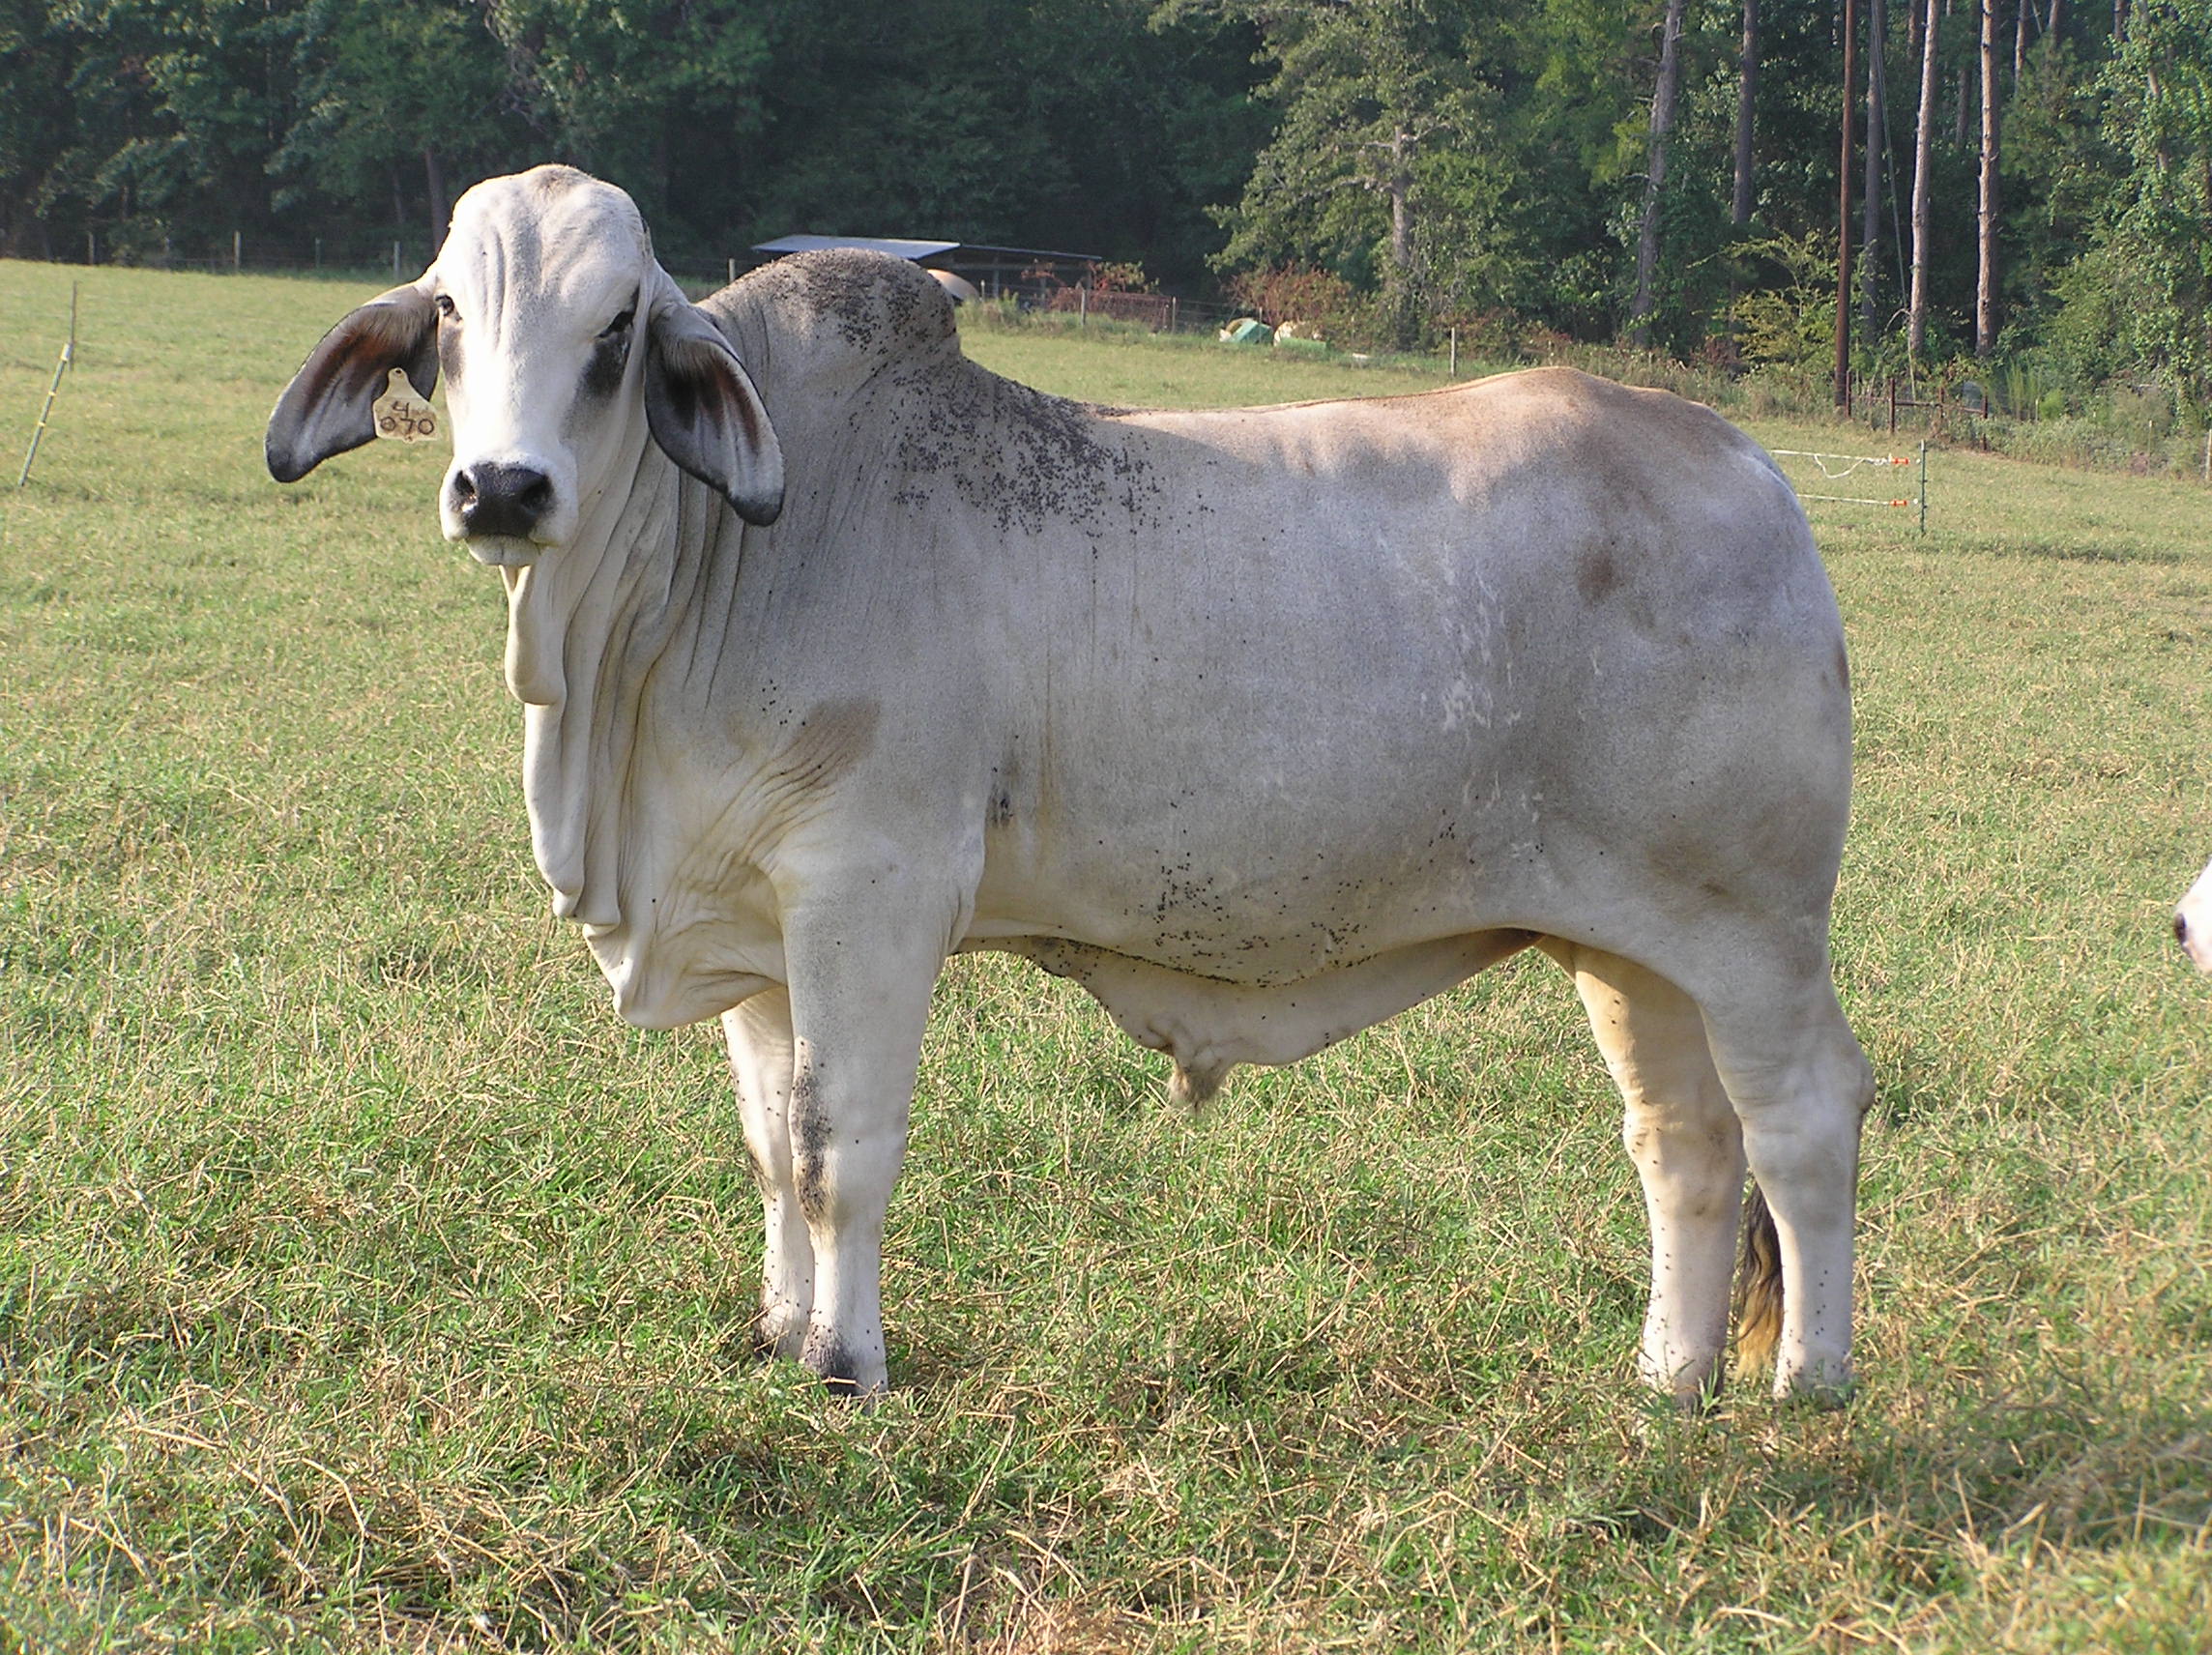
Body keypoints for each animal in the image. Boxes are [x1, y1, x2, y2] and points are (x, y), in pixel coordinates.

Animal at [267, 167, 1876, 1407]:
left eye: (614, 330)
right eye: (452, 313)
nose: (503, 489)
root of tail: (1751, 469)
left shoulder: (870, 894)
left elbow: (841, 1148)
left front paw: (847, 1366)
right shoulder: (756, 924)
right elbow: (773, 1152)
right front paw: (780, 1333)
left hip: (1755, 927)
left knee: (1805, 1117)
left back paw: (1807, 1385)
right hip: (1632, 944)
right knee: (1685, 1146)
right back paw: (1668, 1381)